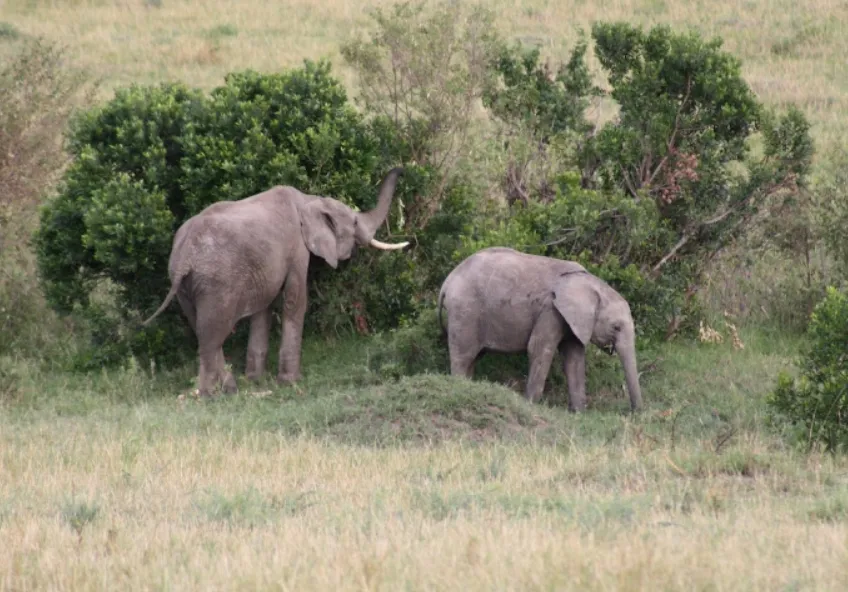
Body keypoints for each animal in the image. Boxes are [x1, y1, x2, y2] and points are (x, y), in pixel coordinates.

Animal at [144, 169, 410, 396]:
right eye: (354, 223)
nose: (401, 169)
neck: (310, 200)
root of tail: (184, 253)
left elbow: (264, 307)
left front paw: (255, 379)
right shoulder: (297, 247)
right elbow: (295, 300)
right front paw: (290, 382)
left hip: (185, 285)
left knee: (200, 327)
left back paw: (230, 388)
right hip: (215, 283)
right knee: (212, 334)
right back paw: (212, 394)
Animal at [438, 246, 644, 412]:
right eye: (616, 327)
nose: (634, 413)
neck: (592, 284)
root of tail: (447, 282)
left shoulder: (572, 320)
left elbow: (574, 358)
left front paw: (579, 413)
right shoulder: (550, 310)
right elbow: (539, 348)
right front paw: (530, 404)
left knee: (473, 357)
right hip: (464, 311)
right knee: (464, 355)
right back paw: (459, 386)